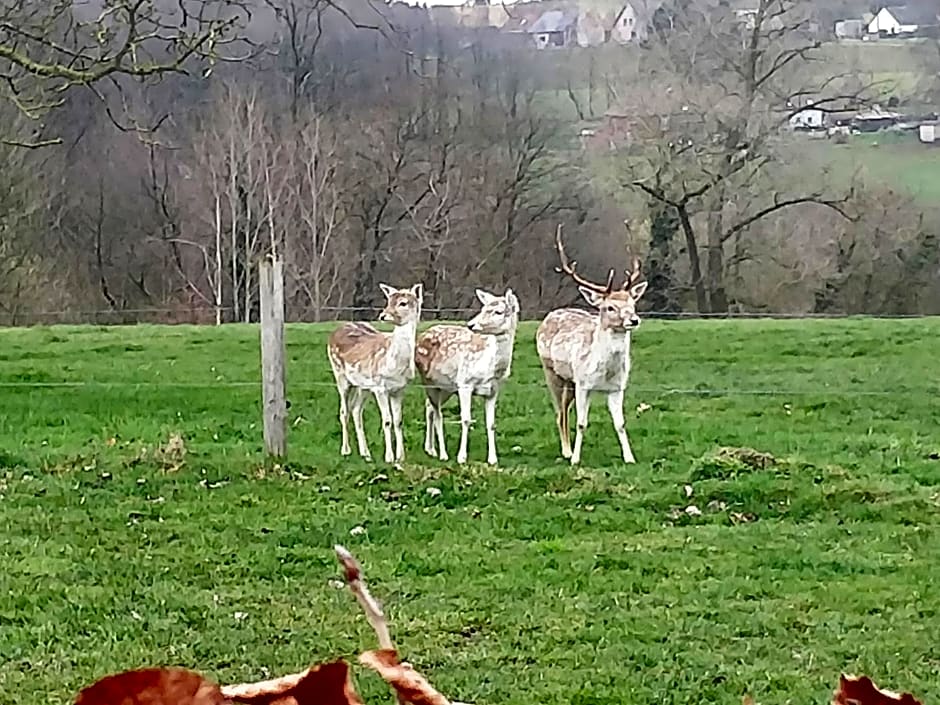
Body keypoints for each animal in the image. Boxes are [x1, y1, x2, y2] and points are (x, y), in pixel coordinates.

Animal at [326, 284, 422, 464]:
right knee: (344, 411)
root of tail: (335, 332)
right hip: (340, 375)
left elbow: (398, 420)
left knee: (356, 410)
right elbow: (387, 420)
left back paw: (366, 453)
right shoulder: (380, 387)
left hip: (363, 386)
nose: (383, 315)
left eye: (403, 303)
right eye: (388, 300)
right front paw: (389, 457)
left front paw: (401, 457)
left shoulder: (400, 389)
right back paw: (346, 450)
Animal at [416, 286, 520, 462]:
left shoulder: (493, 390)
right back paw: (442, 454)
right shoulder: (465, 383)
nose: (471, 324)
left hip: (446, 387)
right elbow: (465, 419)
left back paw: (430, 449)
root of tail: (420, 337)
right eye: (483, 308)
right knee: (437, 414)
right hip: (429, 380)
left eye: (498, 311)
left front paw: (493, 459)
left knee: (429, 407)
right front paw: (462, 457)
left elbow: (491, 423)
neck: (491, 369)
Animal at [536, 228, 648, 464]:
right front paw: (576, 460)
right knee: (560, 412)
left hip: (570, 381)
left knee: (563, 410)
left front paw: (629, 458)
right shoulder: (583, 384)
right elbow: (581, 423)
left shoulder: (617, 387)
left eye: (632, 303)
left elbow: (620, 423)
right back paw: (567, 452)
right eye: (610, 307)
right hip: (551, 371)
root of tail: (549, 315)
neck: (604, 371)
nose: (634, 320)